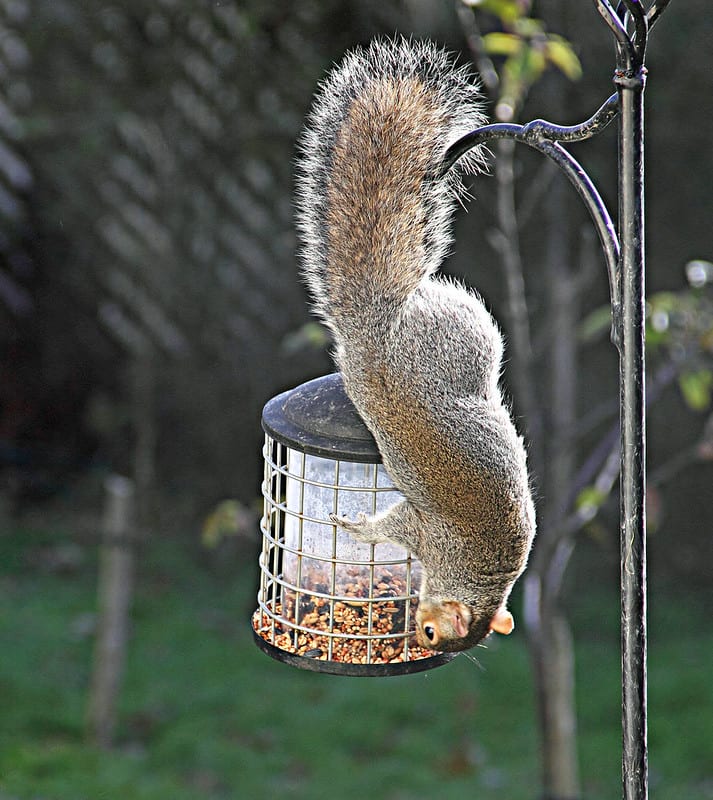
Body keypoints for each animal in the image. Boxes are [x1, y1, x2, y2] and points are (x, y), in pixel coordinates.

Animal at [294, 34, 536, 652]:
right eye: (430, 632)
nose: (419, 640)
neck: (476, 568)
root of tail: (377, 317)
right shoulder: (425, 531)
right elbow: (388, 526)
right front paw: (355, 527)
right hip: (453, 339)